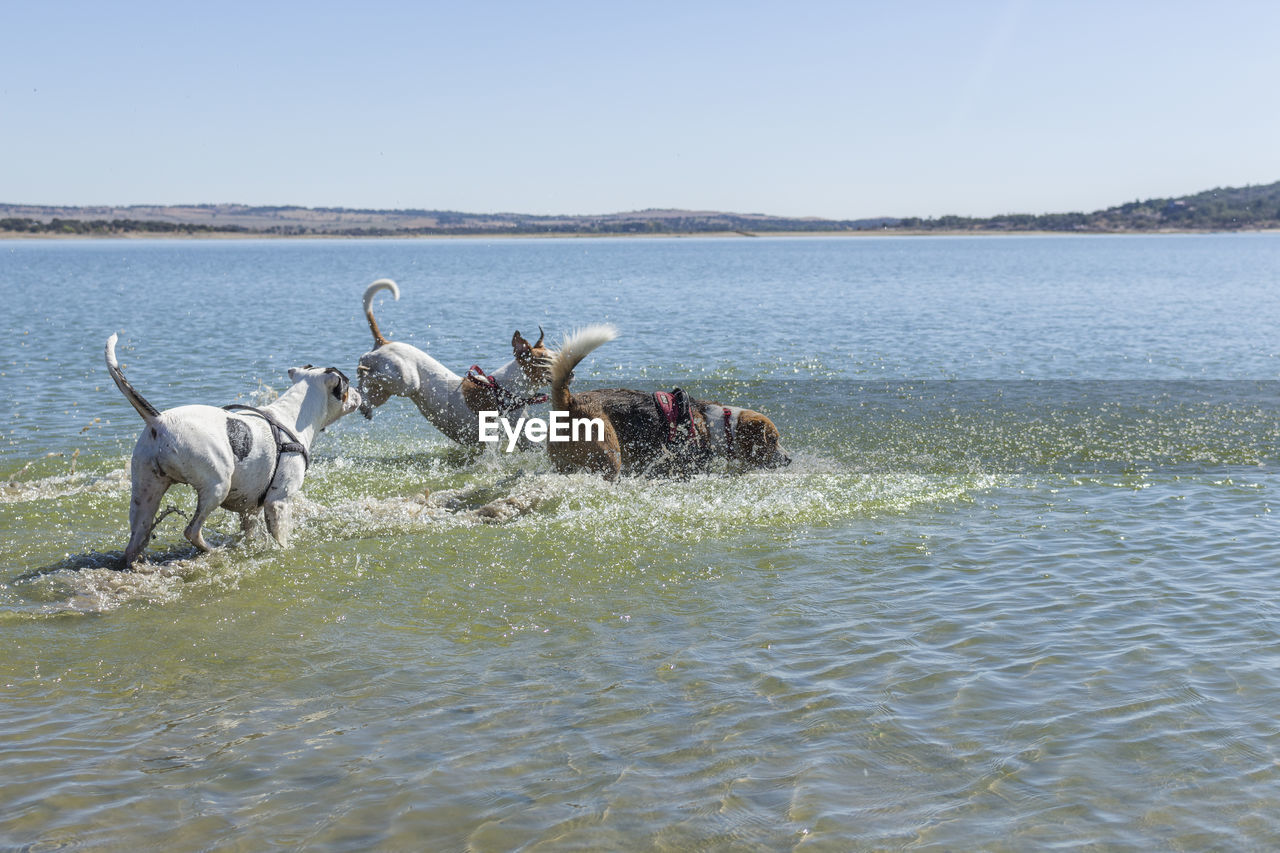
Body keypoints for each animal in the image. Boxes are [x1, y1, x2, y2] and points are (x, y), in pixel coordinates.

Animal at [355, 279, 555, 445]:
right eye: (546, 361)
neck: (504, 389)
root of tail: (384, 342)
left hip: (382, 391)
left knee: (363, 385)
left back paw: (364, 402)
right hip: (406, 382)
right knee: (369, 372)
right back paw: (363, 371)